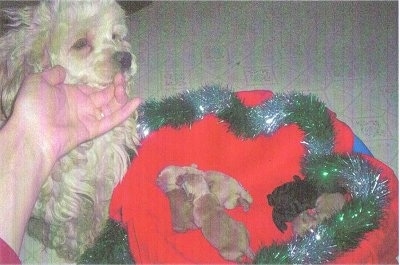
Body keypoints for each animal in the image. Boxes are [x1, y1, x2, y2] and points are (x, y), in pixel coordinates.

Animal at [0, 0, 139, 260]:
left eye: (115, 36)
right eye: (81, 44)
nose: (126, 57)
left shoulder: (104, 174)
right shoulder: (58, 196)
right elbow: (68, 226)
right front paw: (77, 248)